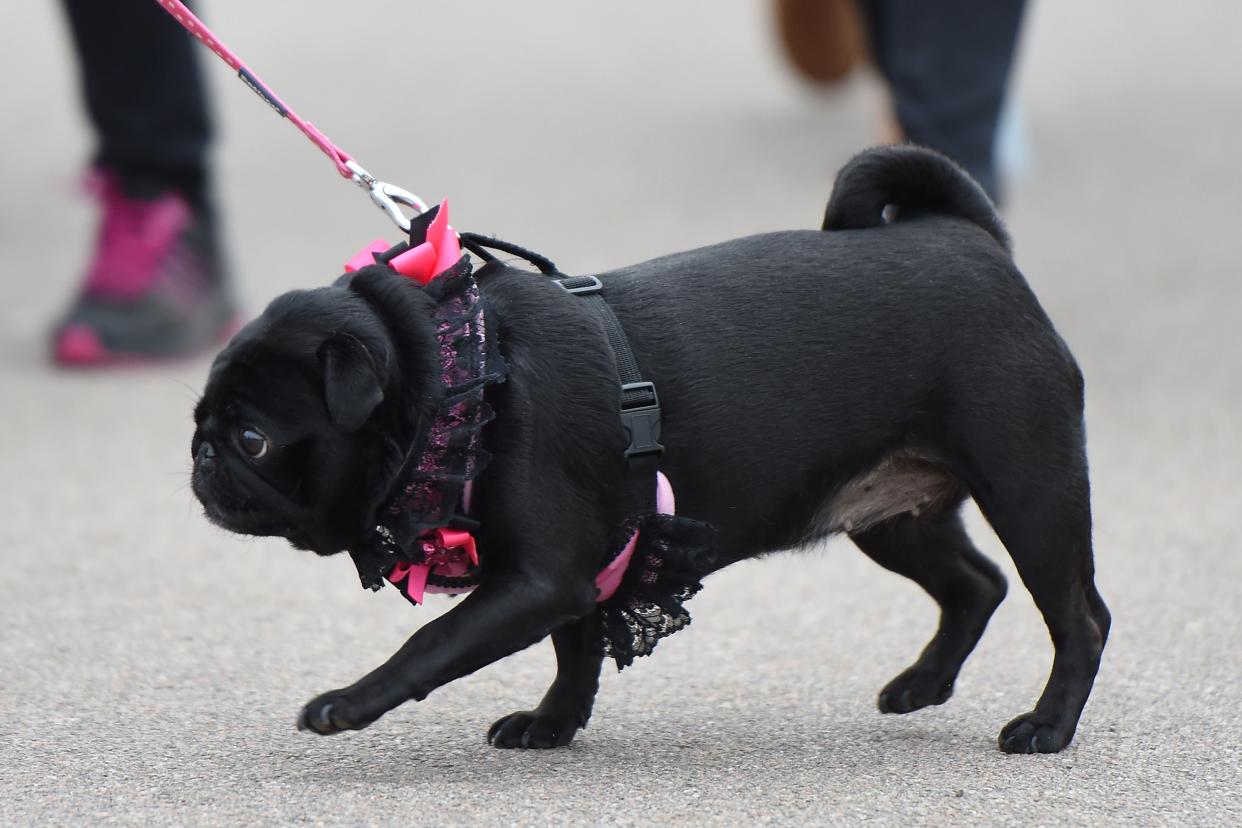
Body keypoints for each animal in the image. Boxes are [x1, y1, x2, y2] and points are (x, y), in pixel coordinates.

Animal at [191, 145, 1107, 754]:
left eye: (253, 439)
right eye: (202, 420)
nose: (200, 460)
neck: (455, 372)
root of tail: (970, 237)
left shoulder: (539, 574)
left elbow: (435, 644)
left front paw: (351, 701)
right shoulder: (571, 573)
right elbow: (576, 649)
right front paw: (552, 724)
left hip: (1031, 489)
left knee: (1077, 615)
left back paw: (1047, 725)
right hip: (890, 518)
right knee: (976, 584)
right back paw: (923, 684)